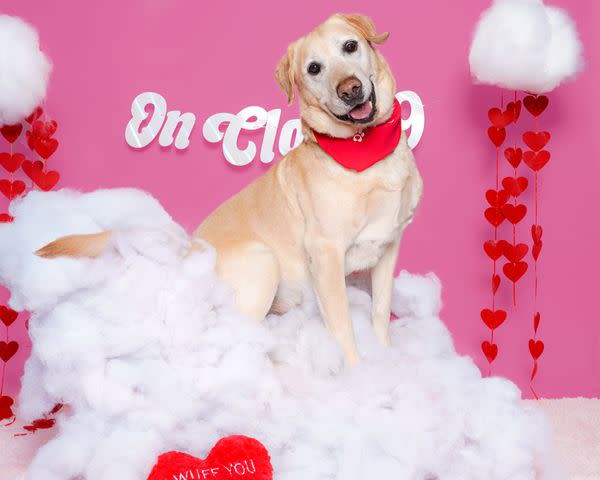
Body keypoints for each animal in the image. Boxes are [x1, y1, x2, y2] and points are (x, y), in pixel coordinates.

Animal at [38, 14, 422, 368]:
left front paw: (387, 357)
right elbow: (343, 329)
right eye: (314, 69)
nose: (350, 89)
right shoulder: (325, 253)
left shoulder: (388, 247)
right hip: (264, 262)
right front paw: (359, 377)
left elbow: (380, 311)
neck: (366, 153)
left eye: (350, 46)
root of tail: (188, 252)